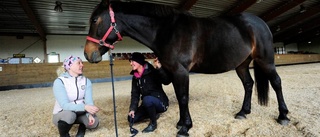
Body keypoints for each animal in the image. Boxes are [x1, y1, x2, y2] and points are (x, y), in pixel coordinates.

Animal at [82, 0, 290, 136]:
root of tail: (261, 22)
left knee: (277, 82)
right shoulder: (173, 72)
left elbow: (183, 97)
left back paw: (283, 116)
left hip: (265, 60)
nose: (88, 54)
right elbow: (180, 95)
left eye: (95, 20)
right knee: (248, 84)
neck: (167, 31)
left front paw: (185, 127)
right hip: (241, 64)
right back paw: (242, 113)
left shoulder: (181, 71)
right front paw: (181, 123)